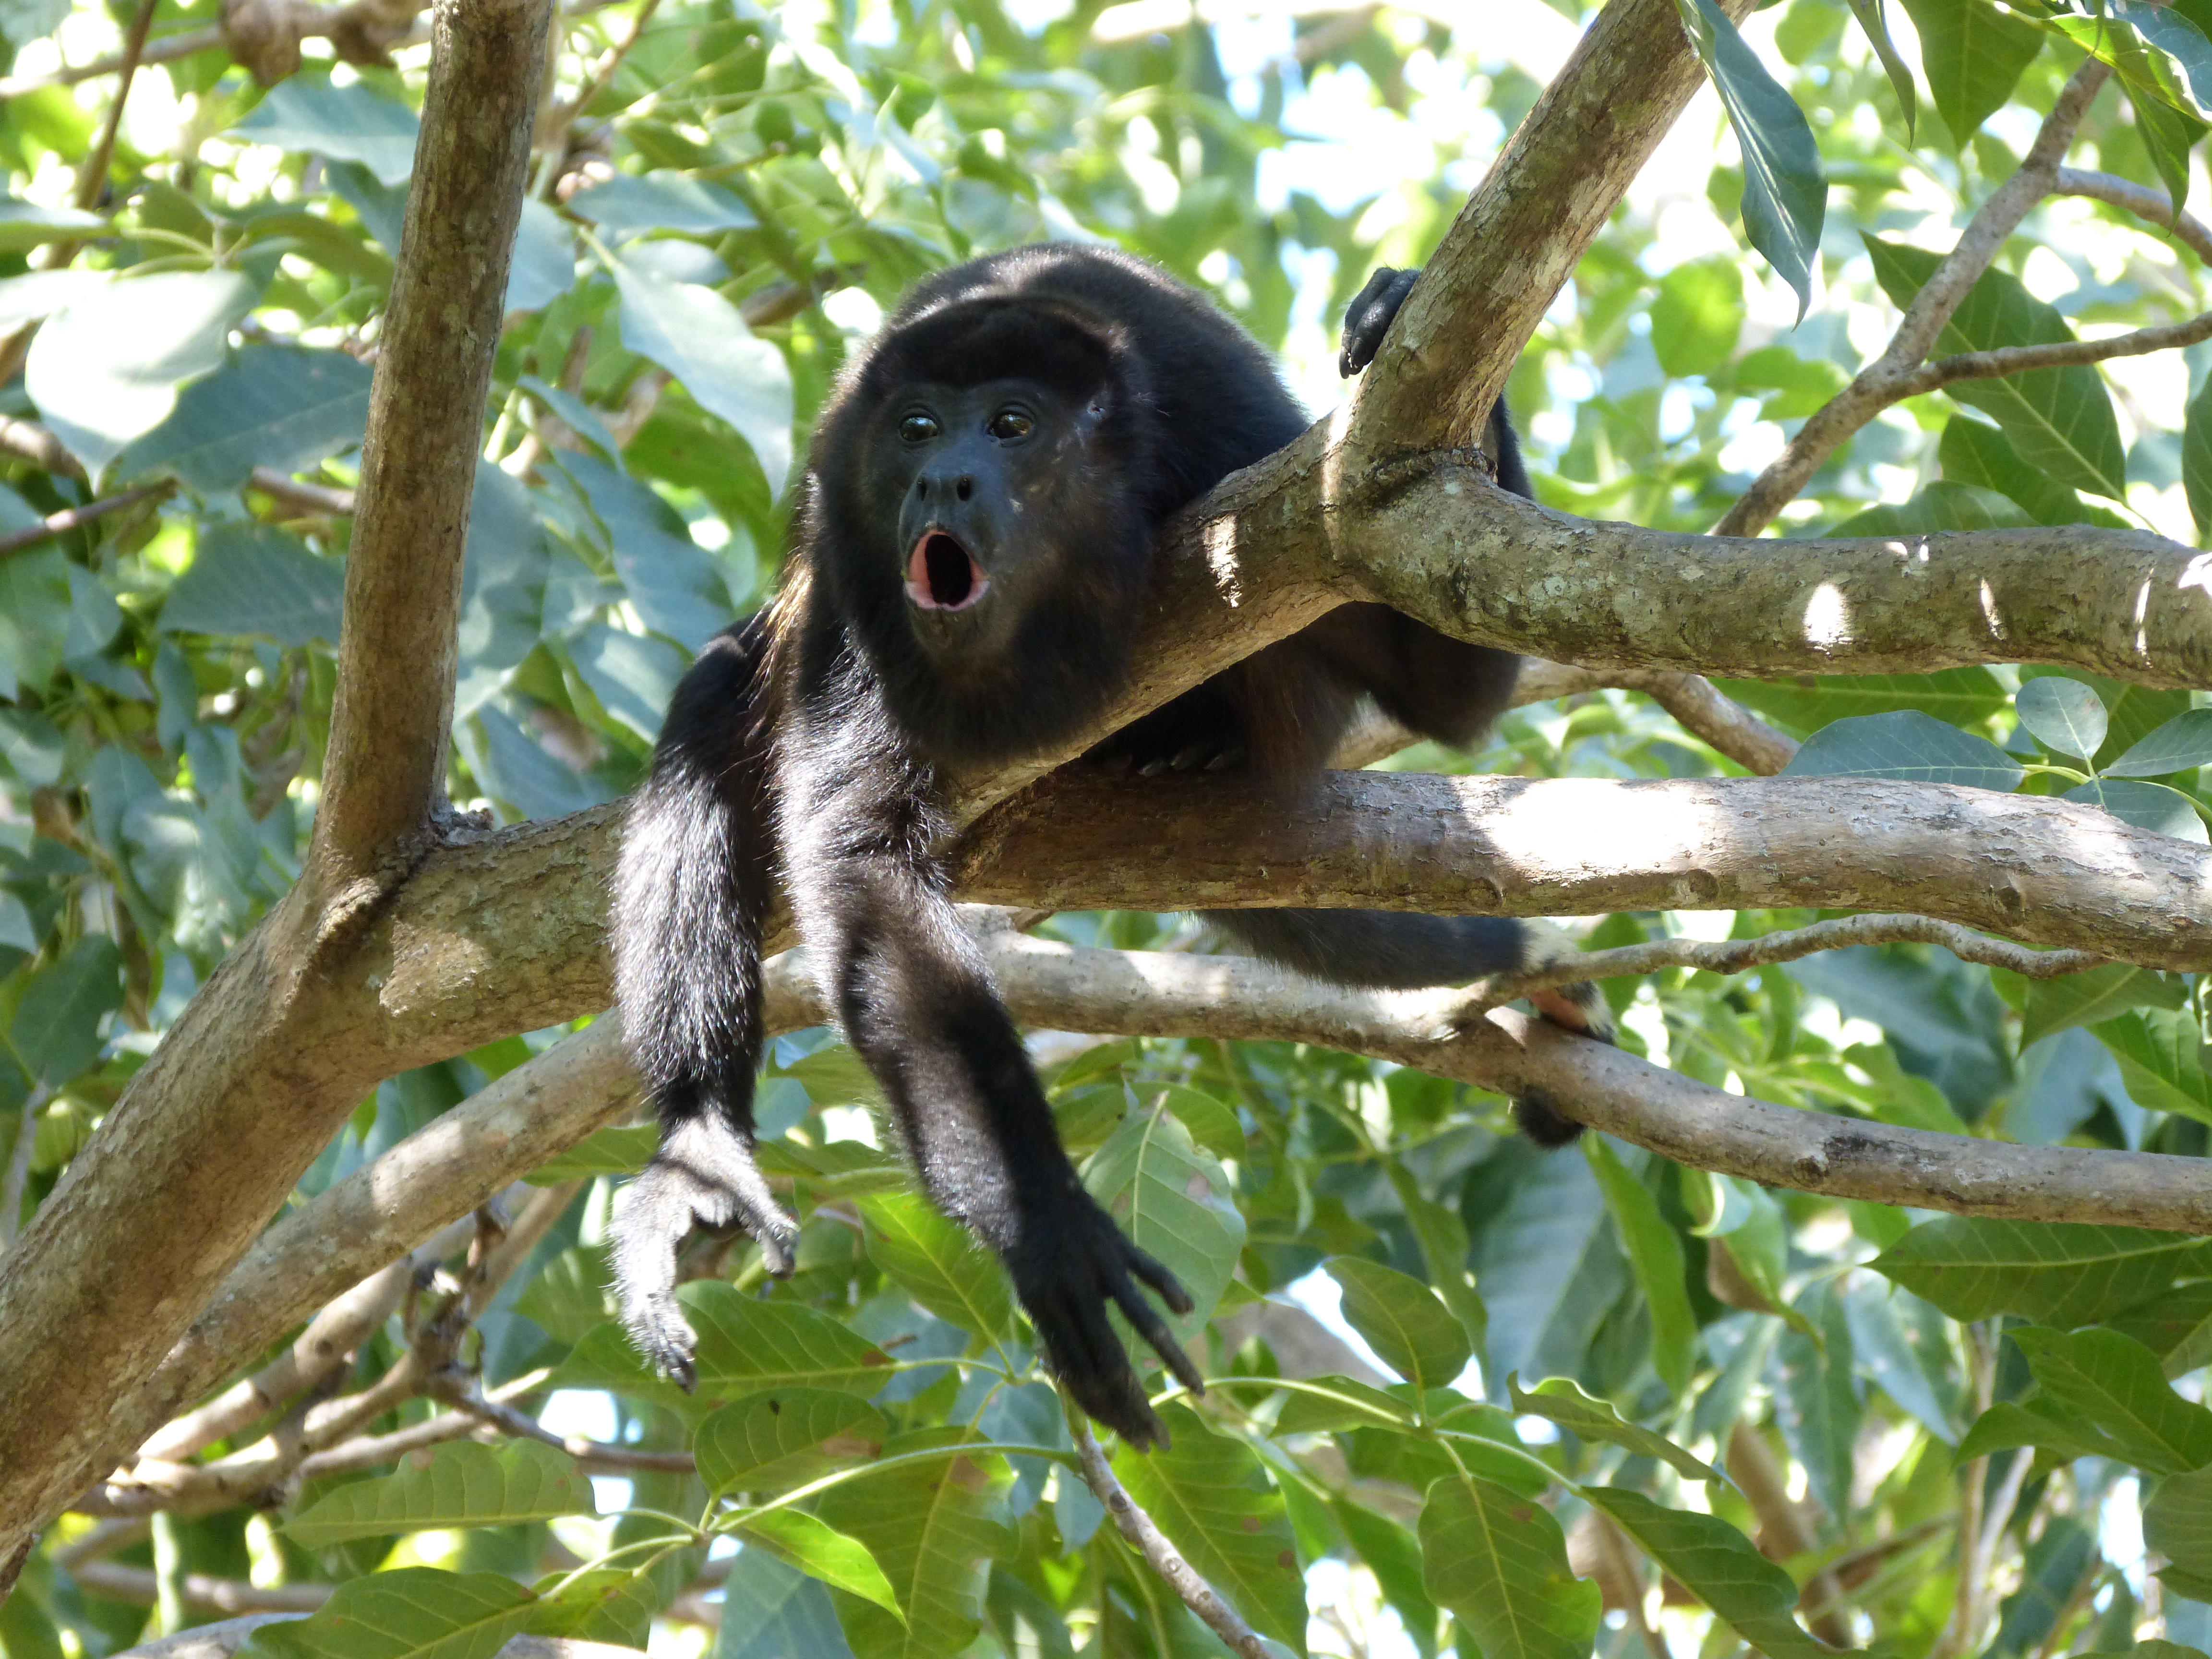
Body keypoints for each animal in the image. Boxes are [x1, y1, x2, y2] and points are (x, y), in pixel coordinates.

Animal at [608, 245, 1609, 1451]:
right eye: (915, 429)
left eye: (1009, 426)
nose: (941, 482)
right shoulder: (852, 554)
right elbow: (861, 861)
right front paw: (1046, 1225)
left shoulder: (1245, 460)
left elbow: (1450, 691)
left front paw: (1404, 313)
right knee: (713, 706)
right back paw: (699, 1143)